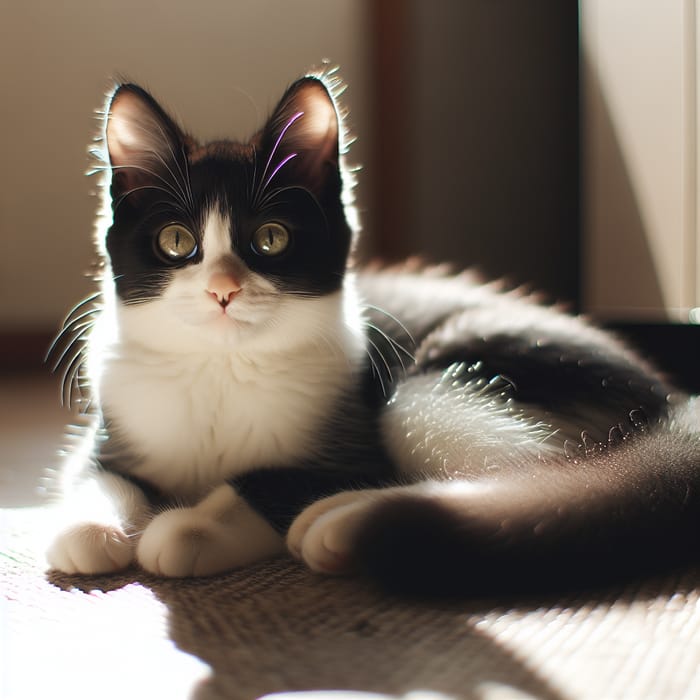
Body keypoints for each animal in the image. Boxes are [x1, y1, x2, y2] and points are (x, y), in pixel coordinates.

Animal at [45, 69, 700, 596]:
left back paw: (344, 523)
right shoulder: (113, 424)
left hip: (431, 391)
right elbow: (95, 473)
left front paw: (192, 526)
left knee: (535, 477)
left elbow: (270, 482)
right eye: (177, 241)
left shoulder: (349, 436)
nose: (222, 289)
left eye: (271, 238)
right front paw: (91, 525)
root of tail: (667, 400)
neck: (220, 366)